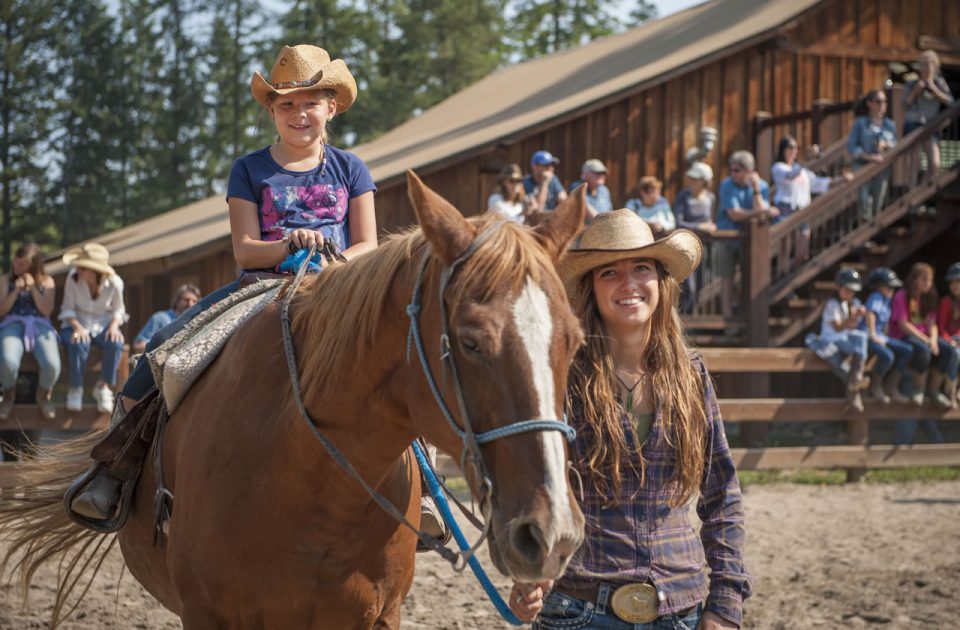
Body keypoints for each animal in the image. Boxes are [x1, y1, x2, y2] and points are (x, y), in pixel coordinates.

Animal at [0, 174, 588, 630]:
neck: (308, 471)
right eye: (469, 341)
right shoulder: (209, 615)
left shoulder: (376, 616)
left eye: (575, 341)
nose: (552, 533)